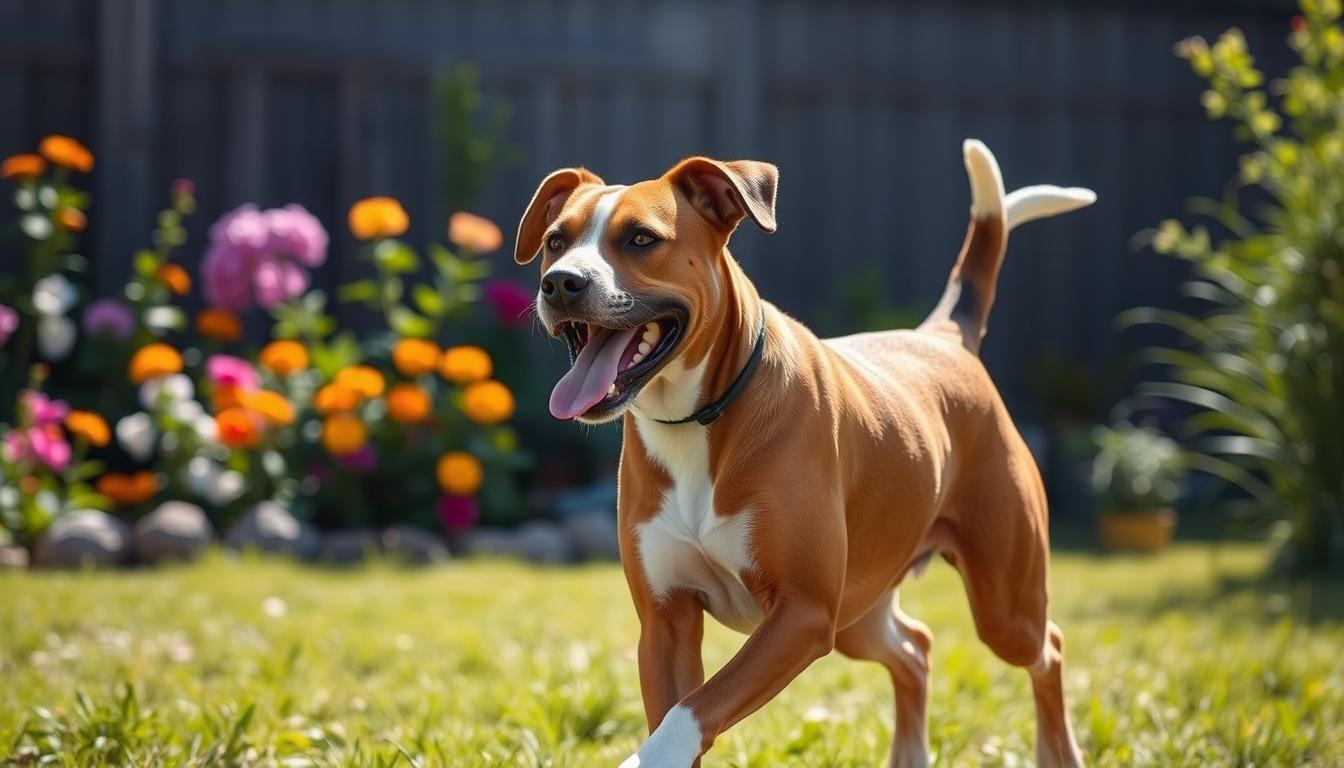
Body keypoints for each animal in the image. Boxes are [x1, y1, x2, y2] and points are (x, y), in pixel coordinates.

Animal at [513, 141, 1091, 763]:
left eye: (641, 238)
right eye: (555, 241)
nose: (561, 282)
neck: (700, 420)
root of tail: (943, 337)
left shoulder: (804, 614)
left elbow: (690, 713)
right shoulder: (667, 622)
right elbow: (675, 708)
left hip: (1002, 608)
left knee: (1048, 647)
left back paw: (1060, 753)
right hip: (860, 608)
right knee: (915, 649)